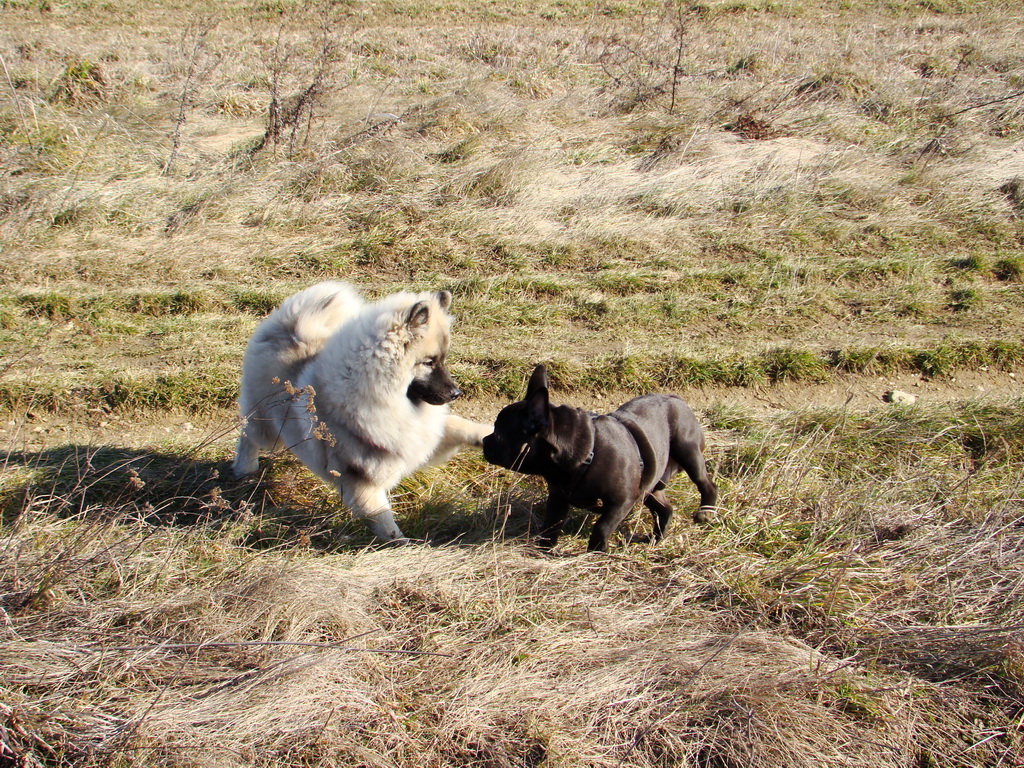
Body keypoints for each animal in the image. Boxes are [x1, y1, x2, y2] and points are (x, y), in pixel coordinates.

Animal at [481, 366, 716, 552]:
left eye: (498, 434)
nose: (484, 440)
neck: (585, 455)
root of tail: (675, 398)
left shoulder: (621, 502)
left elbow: (601, 527)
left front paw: (597, 551)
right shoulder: (557, 499)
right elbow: (551, 525)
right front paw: (543, 550)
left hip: (688, 452)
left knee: (706, 484)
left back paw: (706, 512)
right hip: (649, 484)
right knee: (664, 508)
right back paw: (655, 539)